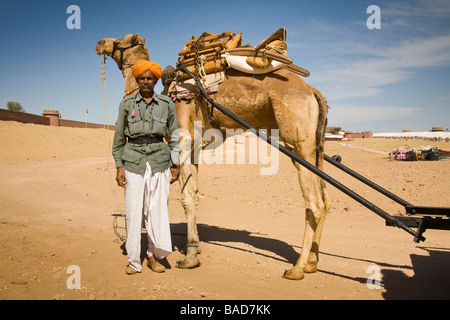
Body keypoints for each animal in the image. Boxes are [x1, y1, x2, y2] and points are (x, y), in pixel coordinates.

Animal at [95, 33, 330, 280]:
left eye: (121, 41)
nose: (100, 43)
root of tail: (313, 92)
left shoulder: (184, 140)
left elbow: (187, 197)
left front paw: (189, 257)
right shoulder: (194, 149)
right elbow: (194, 194)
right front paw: (193, 248)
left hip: (297, 140)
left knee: (314, 204)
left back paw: (297, 268)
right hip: (314, 148)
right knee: (325, 200)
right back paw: (312, 262)